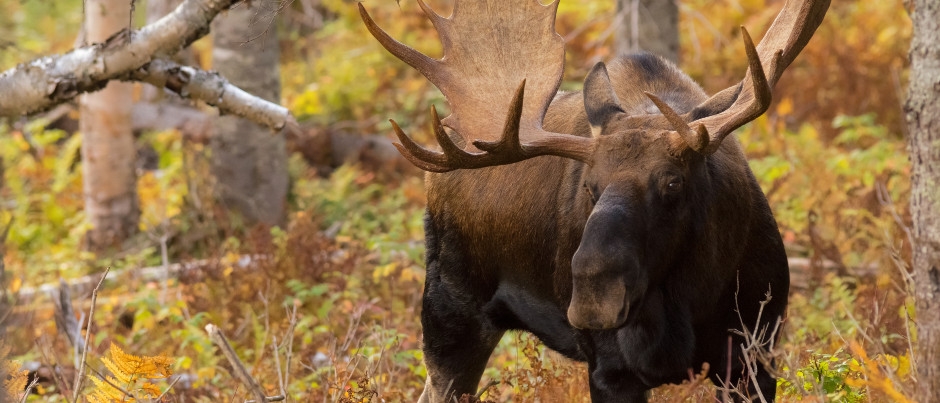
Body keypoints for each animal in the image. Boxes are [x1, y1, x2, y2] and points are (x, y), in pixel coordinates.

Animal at [356, 0, 828, 400]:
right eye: (590, 186)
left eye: (673, 183)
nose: (594, 296)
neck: (686, 305)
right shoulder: (610, 370)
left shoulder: (754, 356)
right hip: (449, 312)